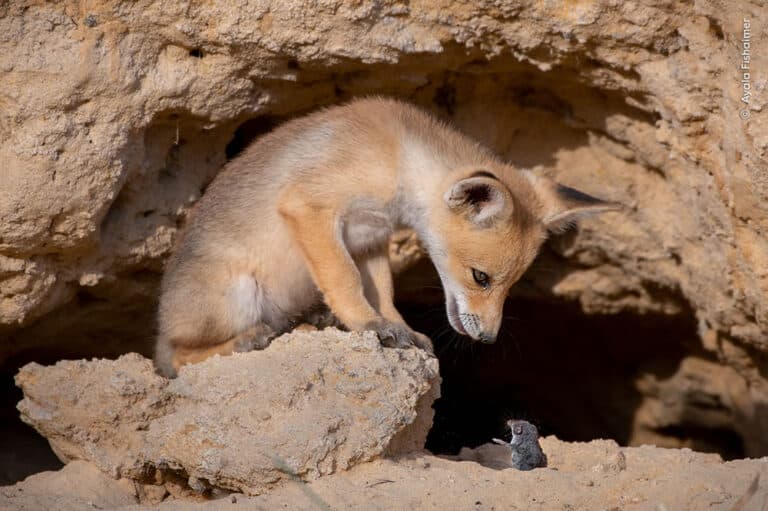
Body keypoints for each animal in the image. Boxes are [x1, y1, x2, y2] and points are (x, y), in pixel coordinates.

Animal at [154, 98, 616, 378]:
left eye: (511, 286)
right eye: (481, 277)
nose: (487, 338)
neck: (398, 157)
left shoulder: (371, 239)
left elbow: (384, 292)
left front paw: (397, 328)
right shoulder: (310, 207)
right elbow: (344, 280)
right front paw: (367, 325)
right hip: (238, 294)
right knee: (176, 358)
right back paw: (246, 340)